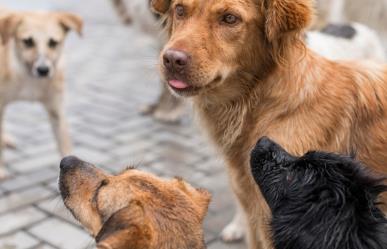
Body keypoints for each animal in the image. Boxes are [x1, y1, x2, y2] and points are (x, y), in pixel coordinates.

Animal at [0, 9, 83, 177]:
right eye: (27, 41)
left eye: (53, 43)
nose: (43, 70)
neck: (29, 78)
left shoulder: (56, 110)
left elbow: (65, 144)